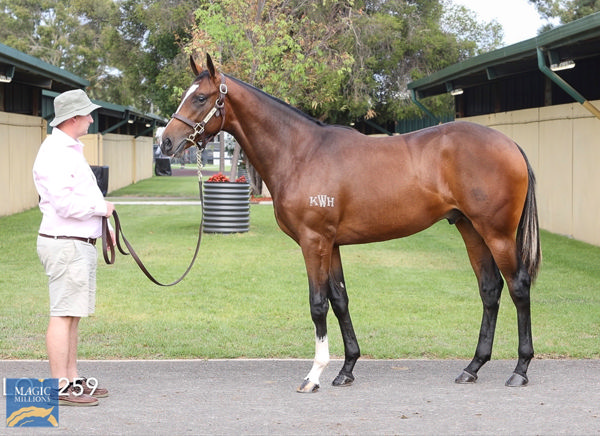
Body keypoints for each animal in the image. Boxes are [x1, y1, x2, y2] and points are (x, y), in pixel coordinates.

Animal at [162, 53, 540, 392]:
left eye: (199, 97)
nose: (166, 142)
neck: (301, 152)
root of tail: (511, 144)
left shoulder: (313, 242)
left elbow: (317, 304)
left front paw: (314, 375)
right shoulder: (332, 244)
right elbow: (339, 300)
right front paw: (346, 370)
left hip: (497, 233)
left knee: (519, 287)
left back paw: (520, 370)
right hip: (470, 229)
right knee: (490, 289)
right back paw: (473, 367)